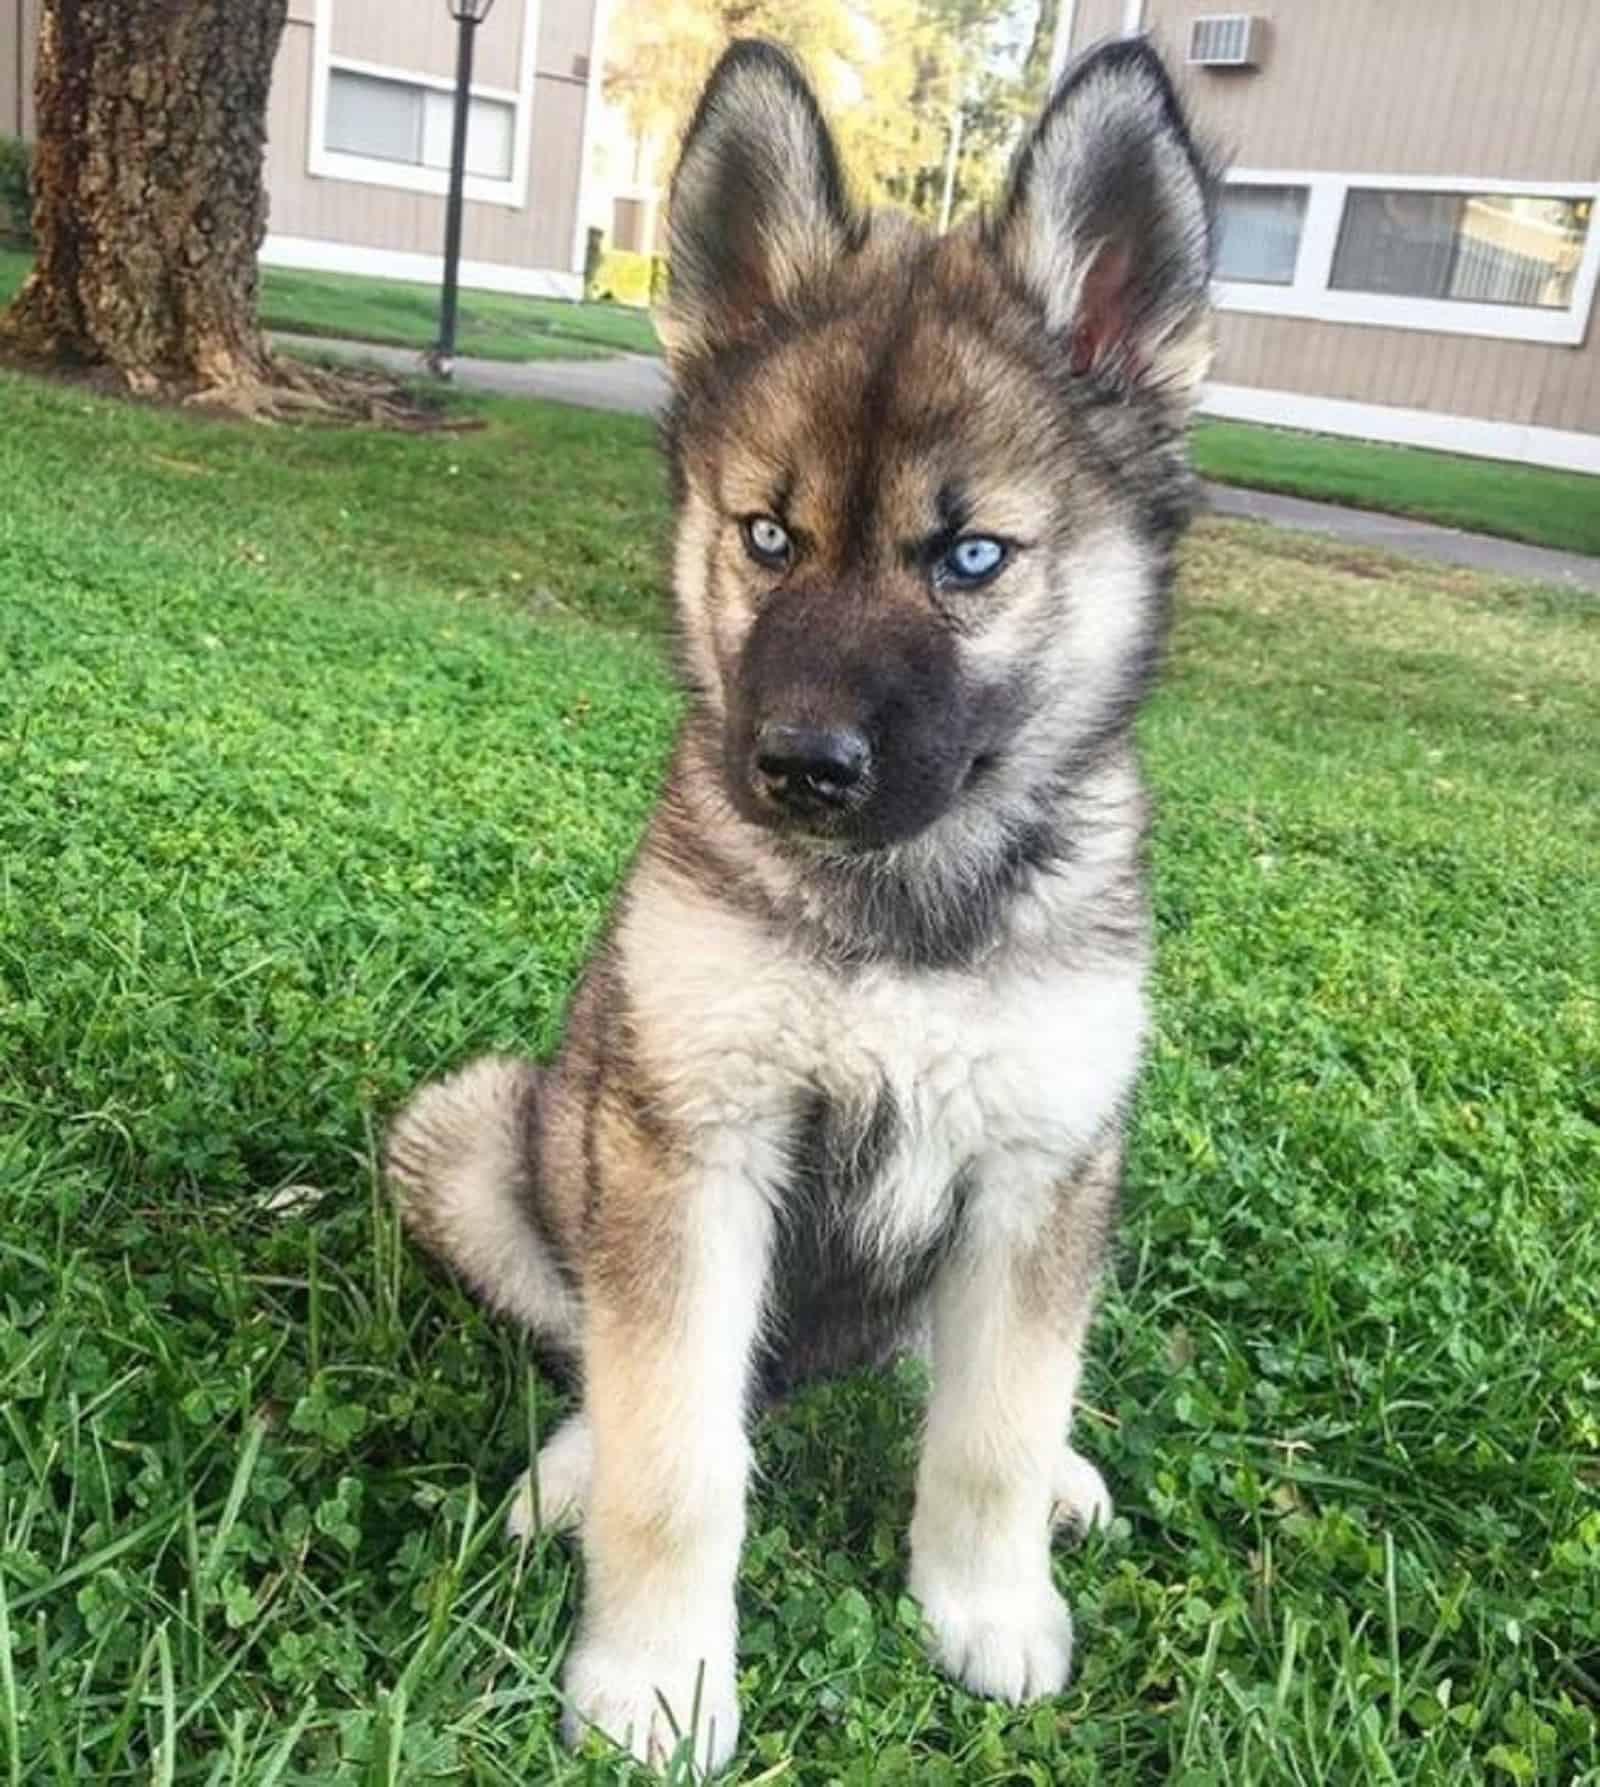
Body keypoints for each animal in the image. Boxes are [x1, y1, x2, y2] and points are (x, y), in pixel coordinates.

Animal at [387, 31, 1215, 1772]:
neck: (898, 905)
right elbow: (677, 1450)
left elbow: (992, 1421)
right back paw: (571, 1465)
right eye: (768, 535)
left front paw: (989, 1603)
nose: (801, 765)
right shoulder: (695, 1145)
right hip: (490, 1133)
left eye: (970, 556)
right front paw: (656, 1678)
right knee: (611, 1351)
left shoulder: (1043, 1159)